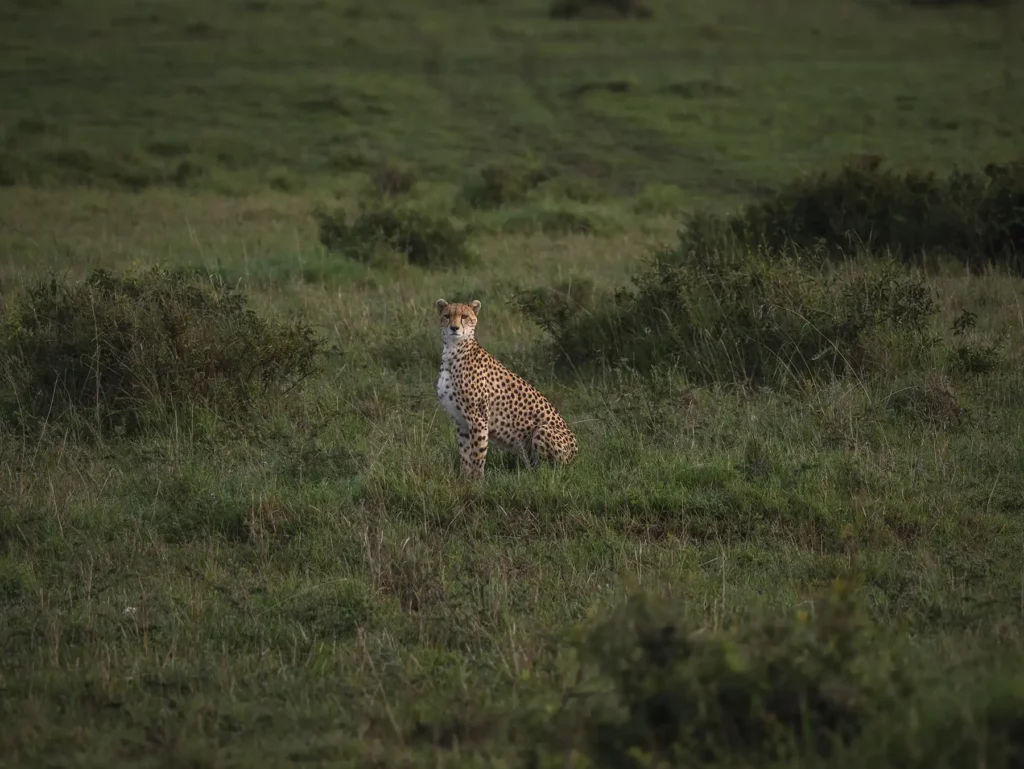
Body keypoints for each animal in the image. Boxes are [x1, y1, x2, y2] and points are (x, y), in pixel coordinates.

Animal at [435, 298, 579, 479]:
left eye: (464, 316)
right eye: (447, 316)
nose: (454, 328)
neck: (453, 350)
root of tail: (577, 454)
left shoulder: (478, 419)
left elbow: (477, 454)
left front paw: (477, 482)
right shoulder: (462, 422)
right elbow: (465, 455)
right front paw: (464, 479)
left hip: (543, 430)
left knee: (549, 470)